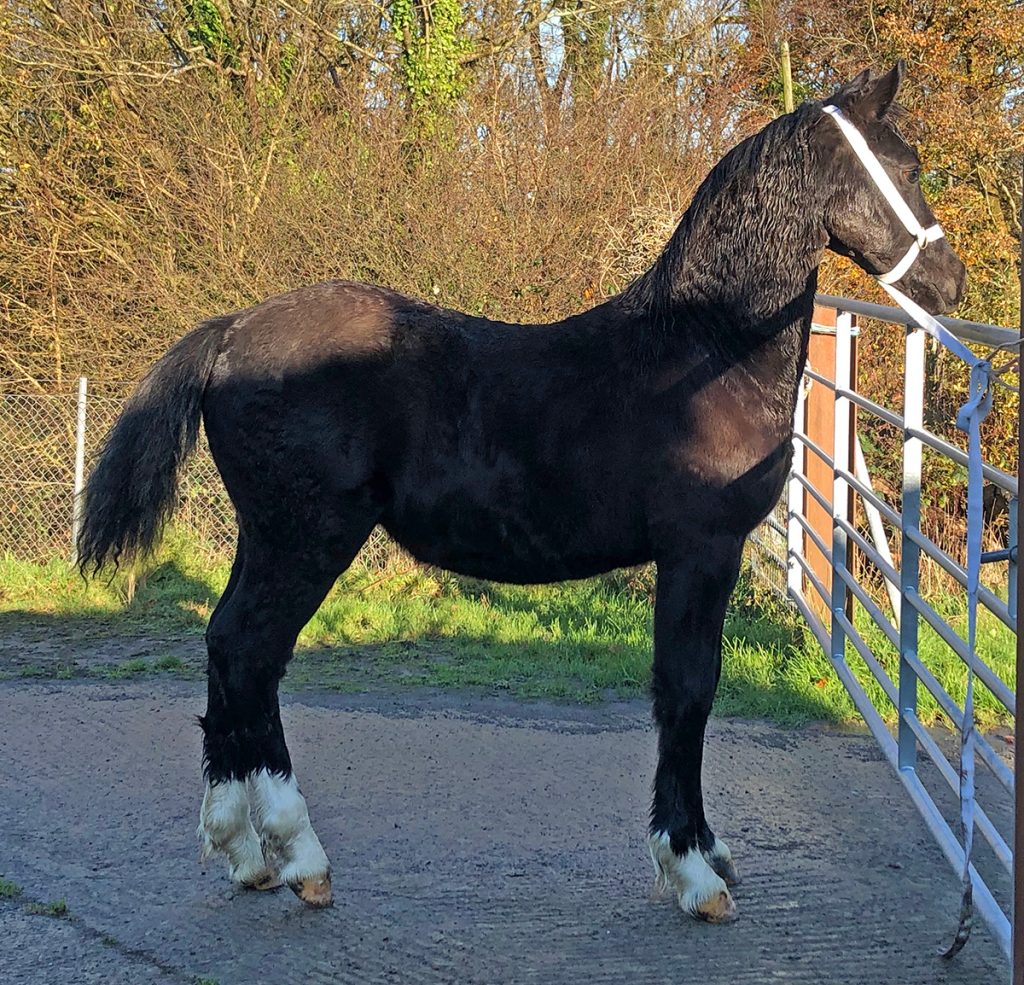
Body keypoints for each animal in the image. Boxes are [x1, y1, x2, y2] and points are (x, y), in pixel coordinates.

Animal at [81, 65, 966, 917]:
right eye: (907, 166)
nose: (950, 281)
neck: (703, 351)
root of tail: (231, 332)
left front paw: (706, 850)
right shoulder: (699, 551)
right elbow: (688, 692)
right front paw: (689, 868)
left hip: (266, 537)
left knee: (230, 653)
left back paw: (245, 853)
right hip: (305, 540)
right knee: (250, 653)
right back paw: (299, 856)